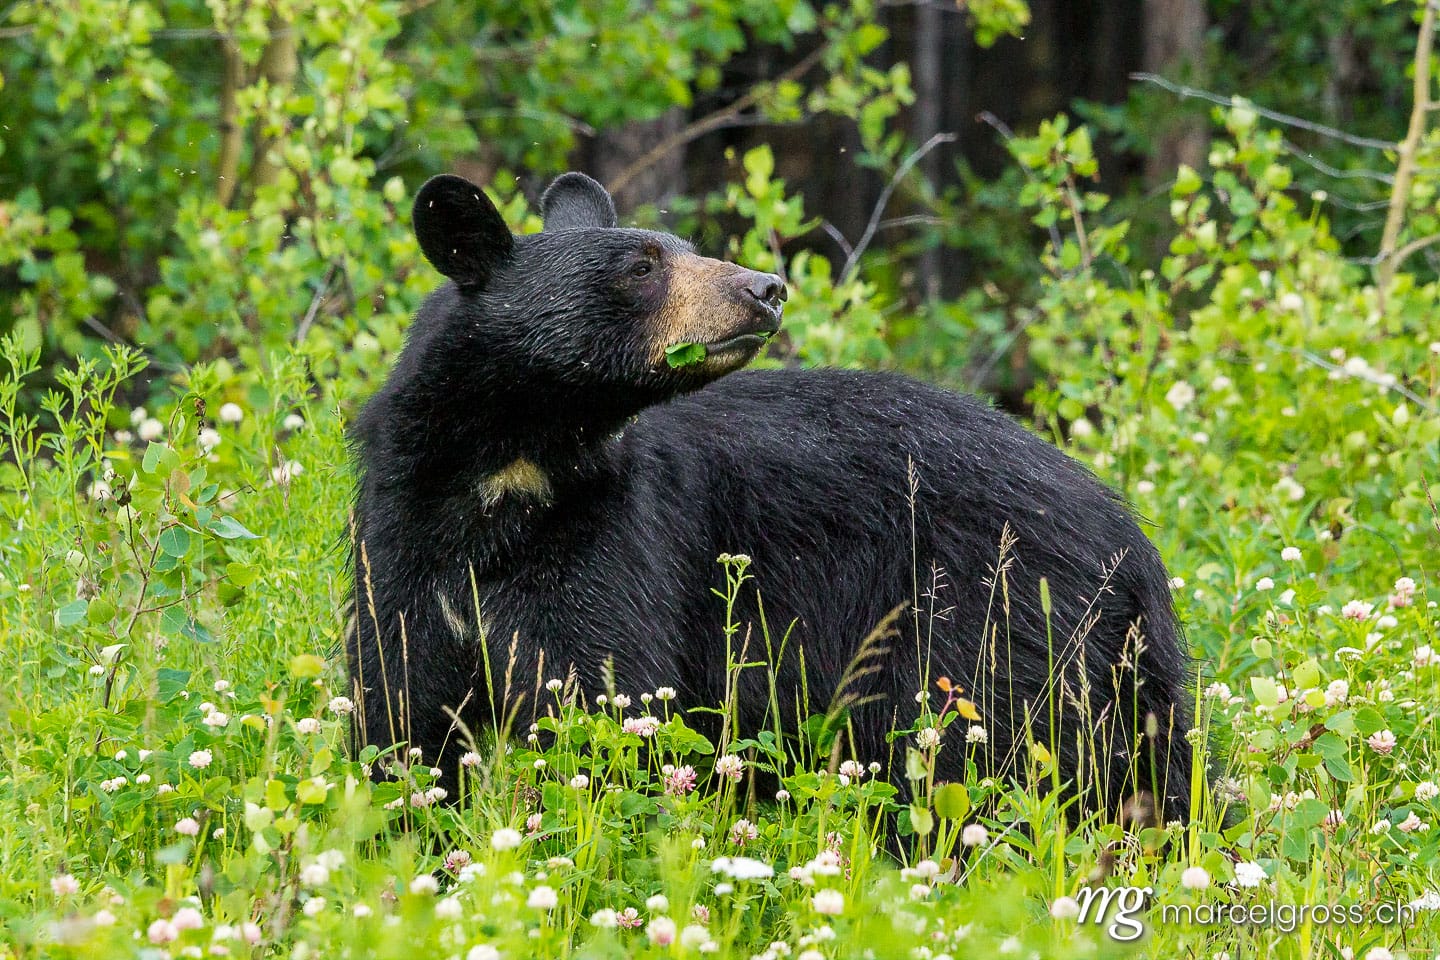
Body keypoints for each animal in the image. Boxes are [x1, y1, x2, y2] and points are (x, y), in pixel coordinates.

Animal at [348, 170, 1193, 824]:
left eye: (685, 248)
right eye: (641, 265)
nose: (766, 288)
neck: (506, 469)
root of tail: (1132, 544)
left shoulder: (610, 534)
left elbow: (603, 696)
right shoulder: (401, 540)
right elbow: (398, 708)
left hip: (989, 623)